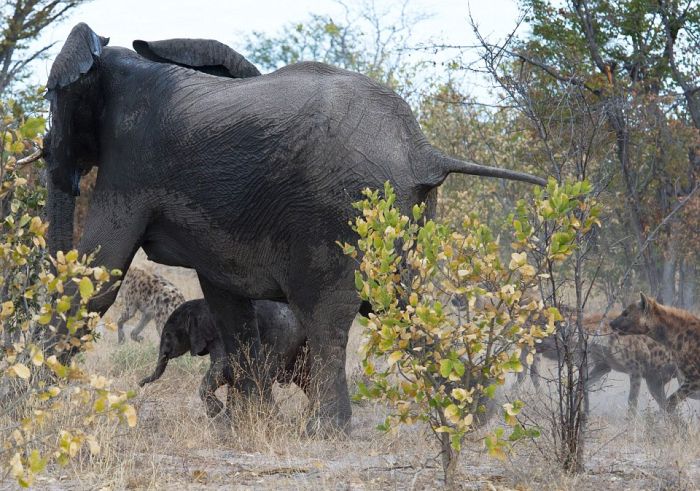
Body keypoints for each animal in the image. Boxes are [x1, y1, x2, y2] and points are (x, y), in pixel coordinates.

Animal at [138, 298, 308, 418]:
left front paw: (215, 412)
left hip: (281, 339)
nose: (139, 384)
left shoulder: (218, 335)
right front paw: (227, 415)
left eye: (168, 335)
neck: (199, 304)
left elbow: (223, 366)